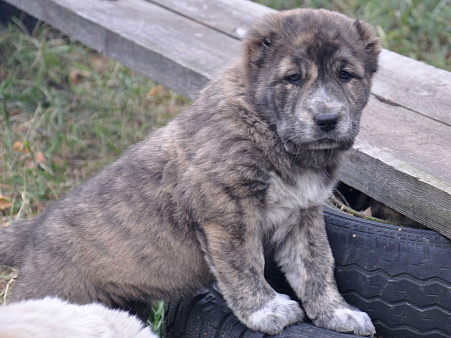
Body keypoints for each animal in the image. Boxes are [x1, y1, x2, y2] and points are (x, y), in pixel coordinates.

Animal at [0, 7, 382, 336]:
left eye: (345, 75)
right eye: (292, 78)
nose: (327, 120)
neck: (266, 127)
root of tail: (33, 231)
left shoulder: (303, 212)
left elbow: (316, 265)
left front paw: (337, 313)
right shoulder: (226, 208)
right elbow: (245, 263)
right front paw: (265, 310)